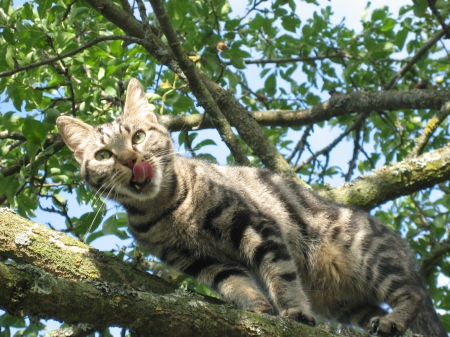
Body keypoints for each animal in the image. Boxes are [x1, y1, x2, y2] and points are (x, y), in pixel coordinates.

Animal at [56, 79, 446, 336]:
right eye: (104, 155)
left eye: (138, 136)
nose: (129, 159)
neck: (166, 209)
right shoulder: (197, 260)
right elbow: (232, 283)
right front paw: (255, 306)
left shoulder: (254, 225)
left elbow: (281, 272)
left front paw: (293, 310)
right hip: (346, 304)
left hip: (371, 255)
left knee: (411, 294)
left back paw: (394, 319)